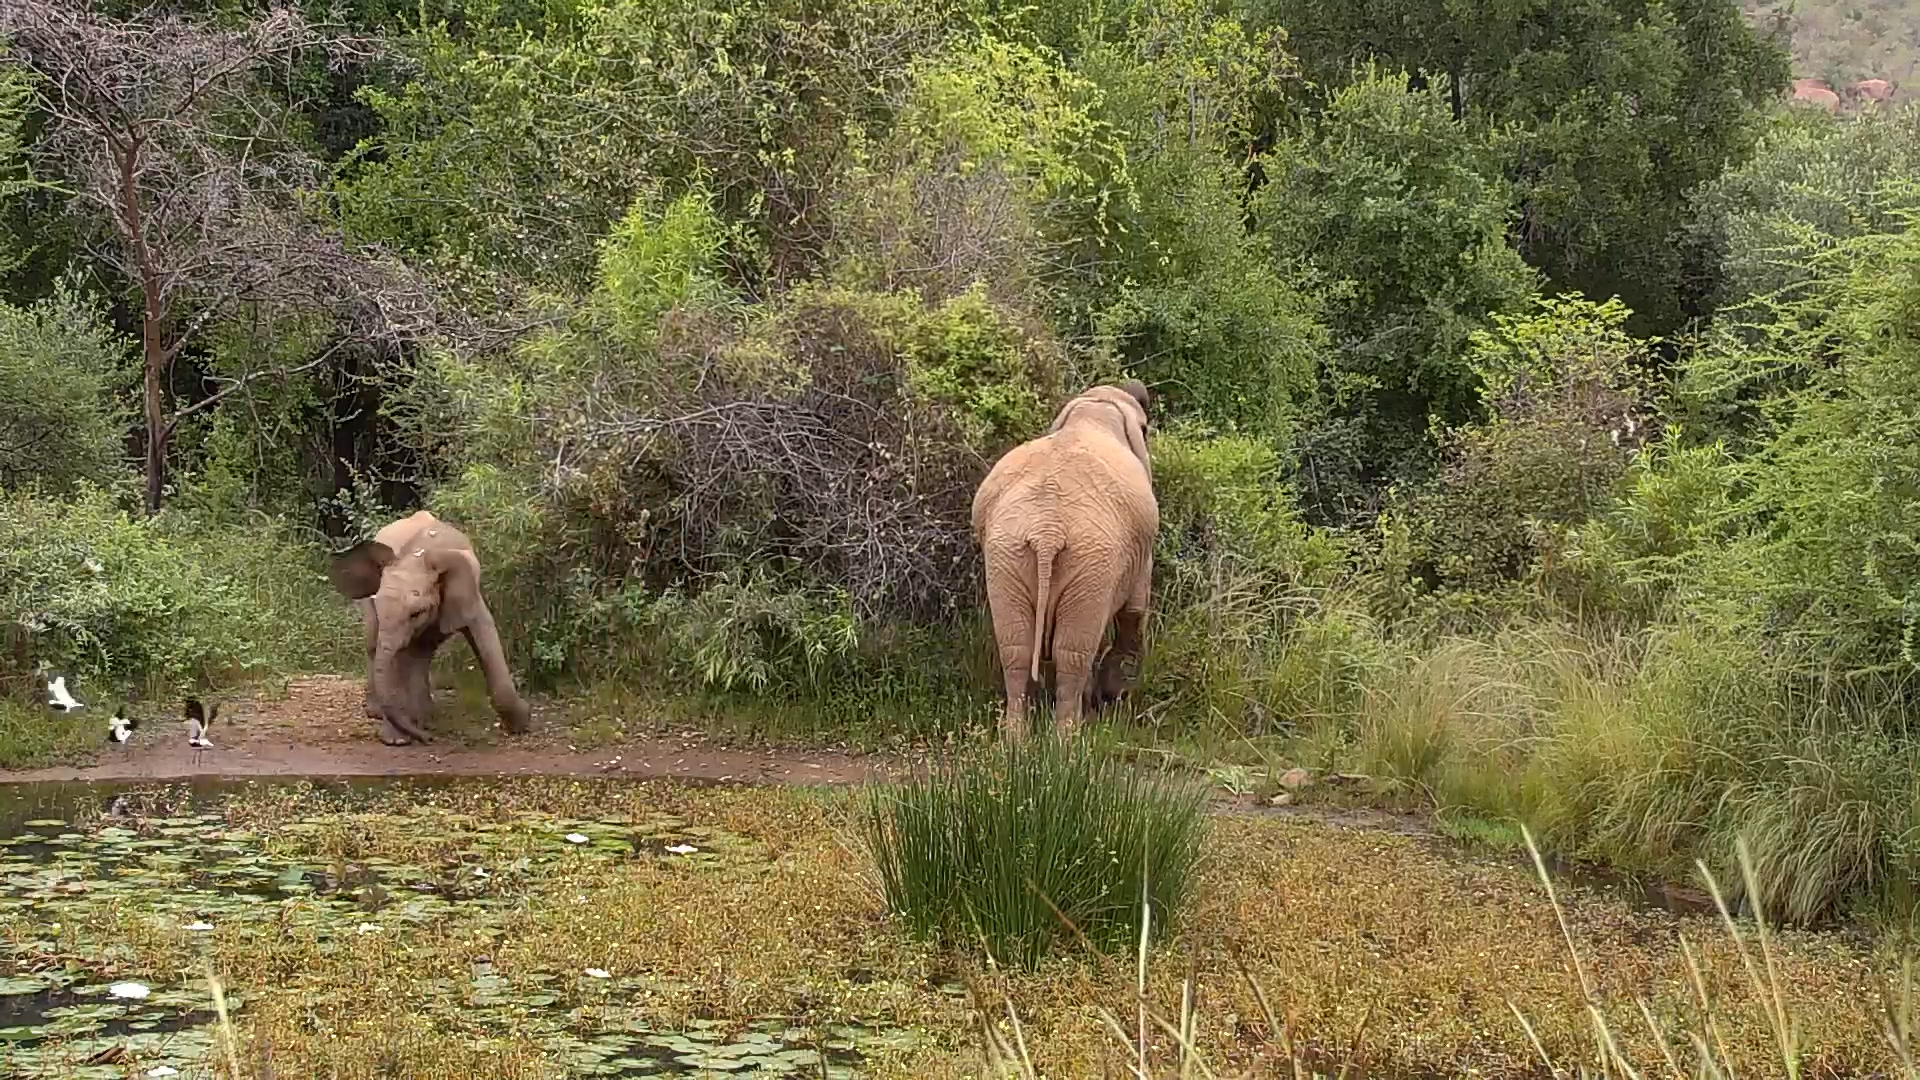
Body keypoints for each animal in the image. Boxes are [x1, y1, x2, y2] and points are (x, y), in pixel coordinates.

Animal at [326, 511, 531, 745]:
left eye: (415, 613)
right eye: (379, 608)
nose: (429, 739)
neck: (416, 555)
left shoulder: (466, 593)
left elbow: (485, 633)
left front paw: (522, 725)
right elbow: (394, 655)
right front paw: (397, 741)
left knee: (423, 651)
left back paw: (424, 715)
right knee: (375, 645)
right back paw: (383, 713)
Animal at [972, 380, 1157, 740]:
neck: (1095, 408)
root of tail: (1048, 529)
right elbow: (1134, 609)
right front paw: (1111, 697)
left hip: (1007, 554)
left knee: (1016, 648)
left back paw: (1015, 742)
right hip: (1089, 560)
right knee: (1072, 652)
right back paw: (1068, 741)